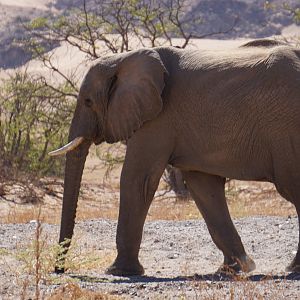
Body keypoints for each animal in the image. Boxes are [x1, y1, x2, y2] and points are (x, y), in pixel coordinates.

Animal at [50, 38, 300, 276]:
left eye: (88, 102)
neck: (123, 59)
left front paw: (118, 271)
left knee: (291, 188)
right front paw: (236, 268)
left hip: (286, 131)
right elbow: (203, 188)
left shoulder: (159, 117)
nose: (59, 269)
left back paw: (292, 268)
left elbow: (137, 179)